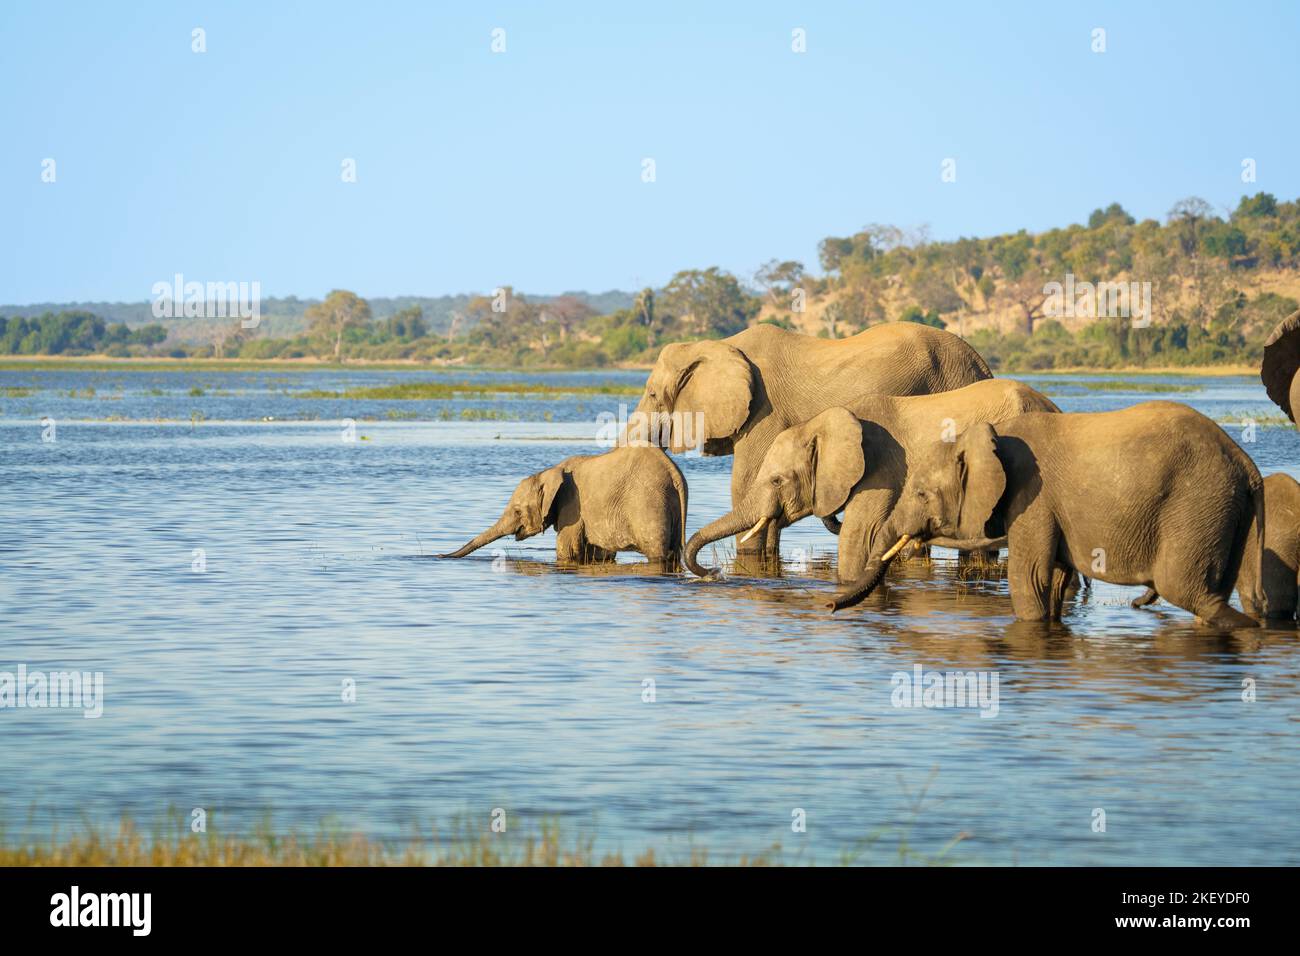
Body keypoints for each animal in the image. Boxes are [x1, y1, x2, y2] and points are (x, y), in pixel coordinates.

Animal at [439, 447, 691, 572]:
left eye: (518, 511)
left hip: (648, 505)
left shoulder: (573, 506)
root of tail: (674, 473)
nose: (439, 556)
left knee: (657, 553)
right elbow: (595, 553)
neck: (550, 471)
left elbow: (567, 549)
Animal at [826, 403, 1263, 632]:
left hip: (1195, 504)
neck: (987, 434)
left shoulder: (1032, 498)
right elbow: (1053, 579)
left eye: (920, 493)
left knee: (1186, 589)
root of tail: (1247, 465)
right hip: (1223, 510)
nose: (829, 606)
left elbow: (1030, 577)